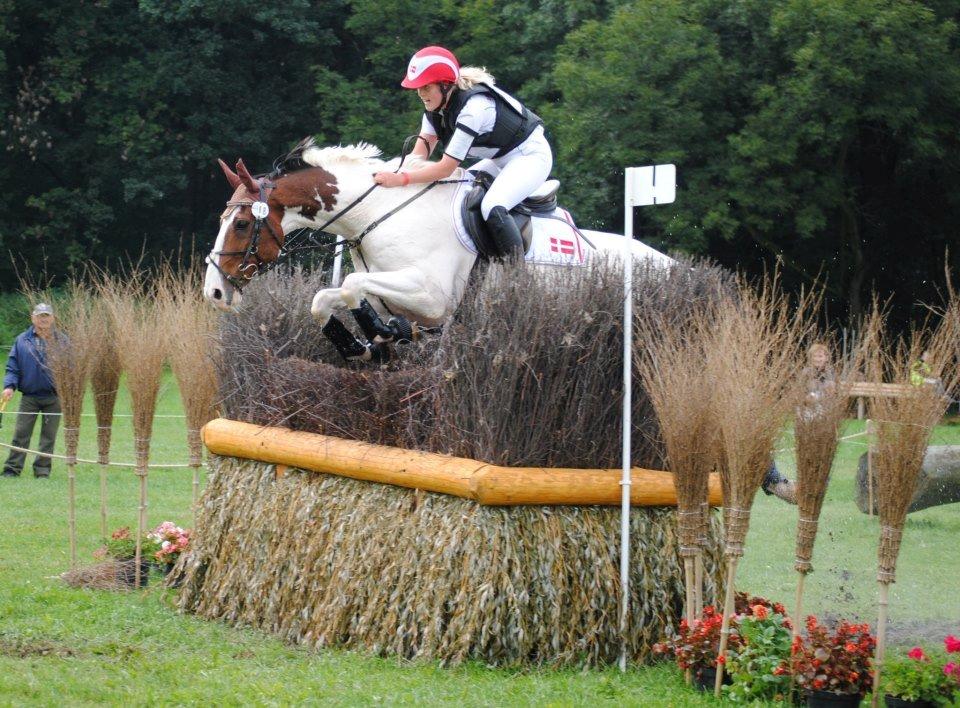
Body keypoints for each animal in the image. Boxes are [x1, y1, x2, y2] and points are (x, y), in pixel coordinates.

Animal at [203, 136, 676, 362]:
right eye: (222, 220)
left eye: (241, 224)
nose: (214, 292)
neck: (378, 211)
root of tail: (673, 267)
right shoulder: (387, 288)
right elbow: (328, 298)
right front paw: (364, 343)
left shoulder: (432, 298)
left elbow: (351, 284)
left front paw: (383, 333)